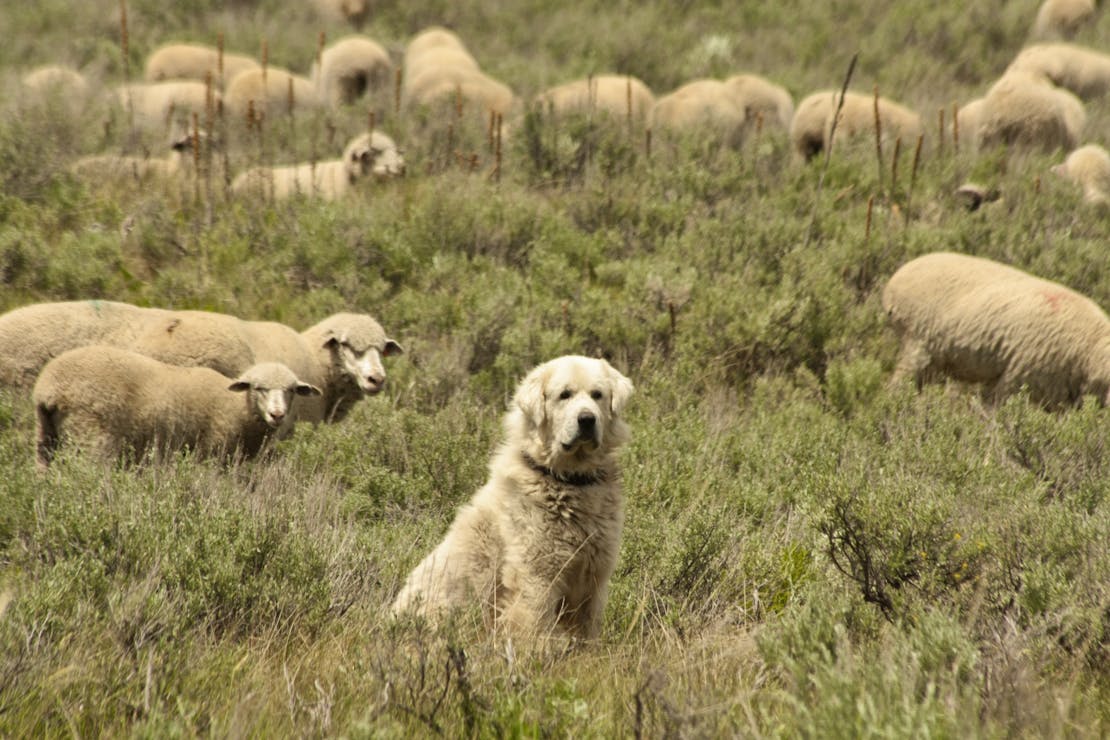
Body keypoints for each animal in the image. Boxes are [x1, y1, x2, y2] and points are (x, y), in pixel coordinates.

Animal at [33, 348, 321, 465]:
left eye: (291, 390)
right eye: (259, 388)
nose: (277, 414)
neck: (236, 407)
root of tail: (49, 387)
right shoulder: (212, 456)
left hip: (45, 436)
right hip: (92, 437)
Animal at [390, 355, 634, 639]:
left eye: (597, 394)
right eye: (564, 394)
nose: (586, 419)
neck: (566, 478)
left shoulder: (593, 574)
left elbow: (587, 629)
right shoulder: (535, 574)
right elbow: (533, 624)